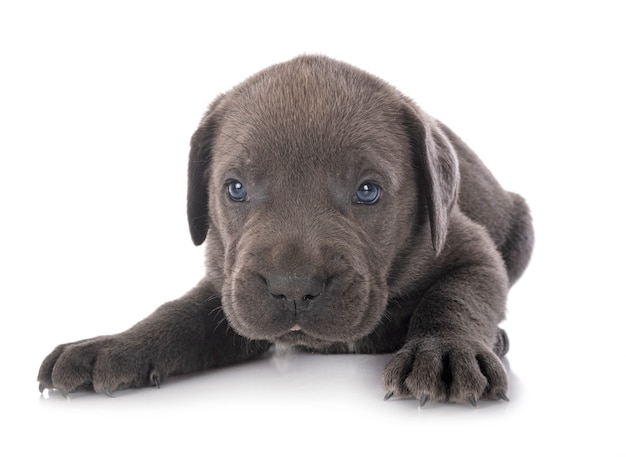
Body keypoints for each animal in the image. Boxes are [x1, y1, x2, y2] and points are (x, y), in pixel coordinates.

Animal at [37, 56, 532, 402]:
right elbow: (179, 315)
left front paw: (445, 351)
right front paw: (114, 345)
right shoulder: (227, 282)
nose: (292, 288)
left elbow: (455, 297)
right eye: (235, 189)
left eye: (368, 191)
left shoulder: (470, 251)